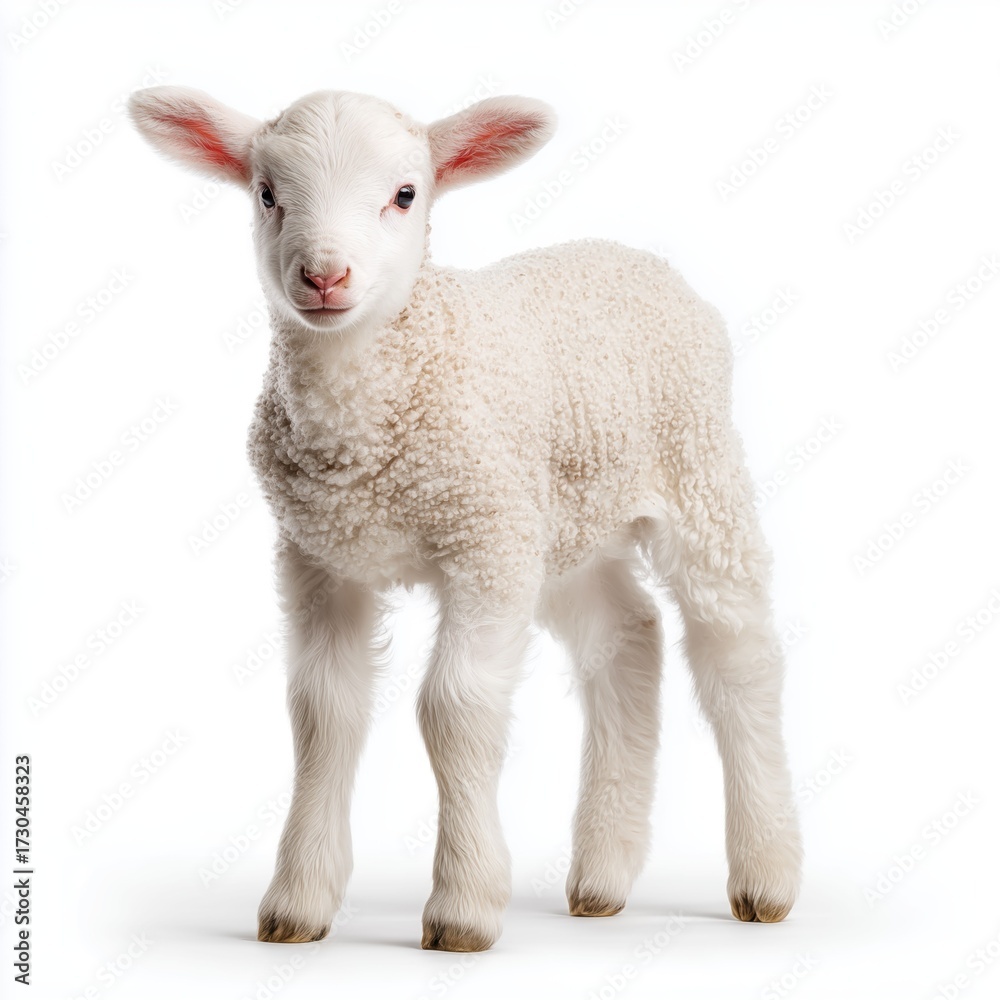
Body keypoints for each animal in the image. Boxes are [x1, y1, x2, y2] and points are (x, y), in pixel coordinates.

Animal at [127, 85, 803, 952]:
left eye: (405, 194)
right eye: (266, 194)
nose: (324, 275)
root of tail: (638, 258)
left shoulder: (480, 540)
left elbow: (452, 709)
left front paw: (463, 908)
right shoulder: (320, 556)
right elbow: (323, 713)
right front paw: (298, 904)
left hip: (693, 476)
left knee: (737, 654)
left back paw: (766, 875)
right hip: (558, 522)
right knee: (627, 640)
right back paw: (603, 878)